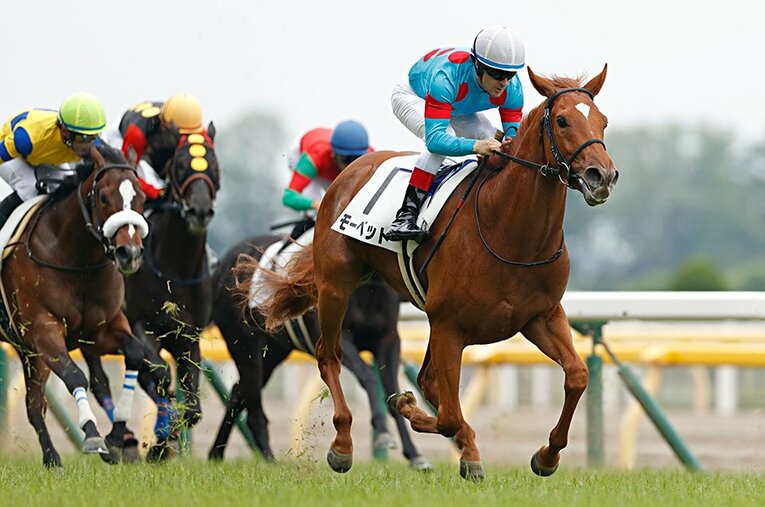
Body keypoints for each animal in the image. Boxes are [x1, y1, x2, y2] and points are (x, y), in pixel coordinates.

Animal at [0, 144, 150, 468]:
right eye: (104, 197)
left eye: (141, 198)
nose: (129, 253)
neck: (76, 259)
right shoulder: (43, 329)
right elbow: (74, 375)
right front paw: (93, 435)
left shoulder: (99, 331)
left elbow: (134, 353)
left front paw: (117, 436)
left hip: (28, 353)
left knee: (34, 404)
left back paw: (52, 459)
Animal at [84, 124, 220, 459]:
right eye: (180, 165)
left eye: (213, 164)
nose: (199, 211)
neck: (176, 268)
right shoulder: (140, 326)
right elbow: (160, 375)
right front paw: (160, 441)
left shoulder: (189, 337)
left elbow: (193, 407)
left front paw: (164, 441)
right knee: (100, 380)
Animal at [206, 235, 430, 469]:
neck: (369, 291)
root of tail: (222, 268)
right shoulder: (340, 339)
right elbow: (368, 375)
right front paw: (382, 433)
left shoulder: (388, 341)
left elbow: (392, 390)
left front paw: (414, 454)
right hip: (244, 346)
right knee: (252, 404)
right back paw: (269, 460)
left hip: (271, 353)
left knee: (237, 392)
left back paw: (216, 453)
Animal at [242, 67, 618, 479]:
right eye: (563, 120)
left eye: (603, 121)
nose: (602, 176)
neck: (508, 232)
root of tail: (350, 171)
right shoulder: (449, 326)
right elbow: (449, 414)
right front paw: (429, 425)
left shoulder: (540, 316)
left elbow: (577, 375)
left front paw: (546, 455)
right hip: (336, 286)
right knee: (330, 355)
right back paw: (342, 445)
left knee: (426, 381)